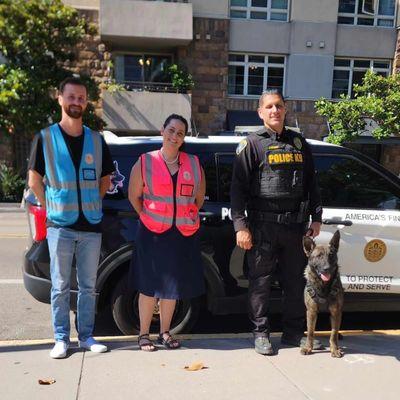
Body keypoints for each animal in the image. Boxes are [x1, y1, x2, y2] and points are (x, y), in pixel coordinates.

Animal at [302, 230, 342, 358]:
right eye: (319, 256)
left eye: (331, 255)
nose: (327, 268)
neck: (323, 286)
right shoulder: (311, 311)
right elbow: (310, 332)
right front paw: (308, 348)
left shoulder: (336, 312)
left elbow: (333, 333)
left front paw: (334, 349)